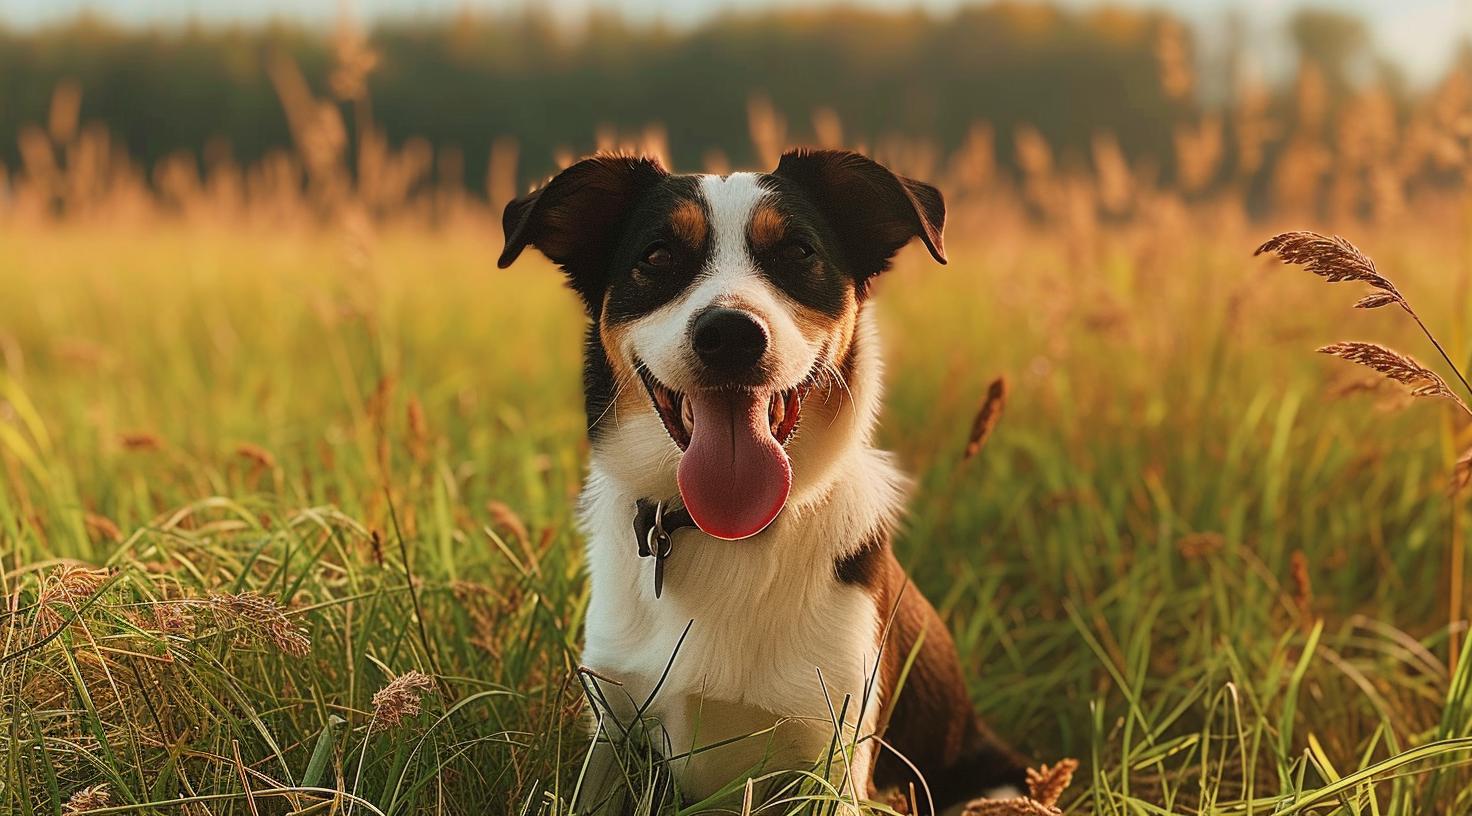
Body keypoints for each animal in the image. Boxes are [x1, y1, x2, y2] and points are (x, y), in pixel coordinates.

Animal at [497, 150, 1024, 807]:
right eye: (657, 255)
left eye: (798, 251)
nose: (730, 334)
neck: (727, 534)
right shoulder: (612, 726)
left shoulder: (834, 752)